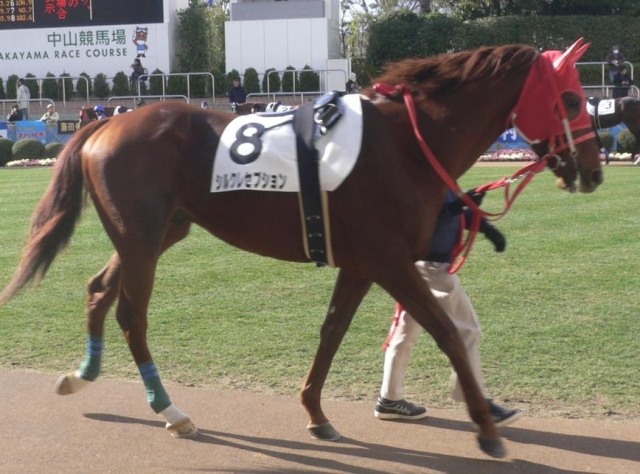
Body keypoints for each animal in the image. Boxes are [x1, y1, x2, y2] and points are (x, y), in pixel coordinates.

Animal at [0, 39, 602, 459]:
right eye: (573, 98)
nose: (594, 172)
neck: (406, 144)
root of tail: (105, 125)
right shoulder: (388, 261)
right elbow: (446, 331)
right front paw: (484, 425)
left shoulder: (362, 263)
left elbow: (332, 330)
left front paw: (316, 412)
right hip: (142, 239)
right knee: (131, 314)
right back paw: (171, 411)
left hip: (158, 232)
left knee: (99, 290)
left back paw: (82, 375)